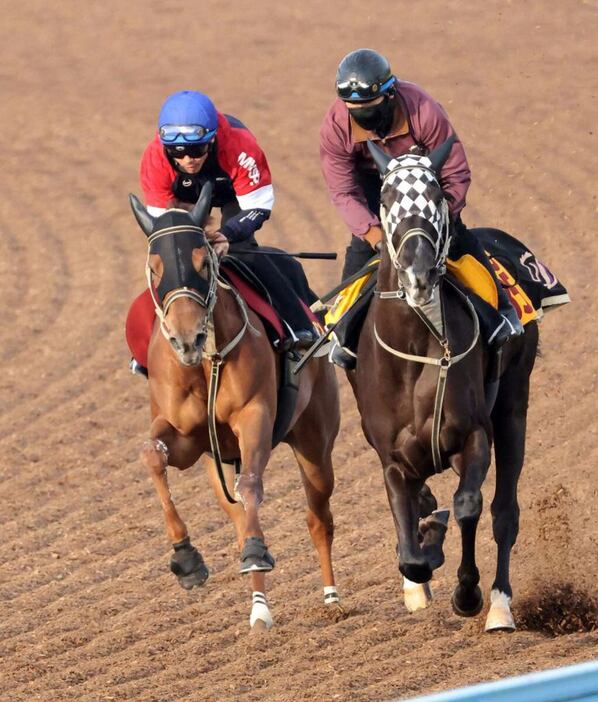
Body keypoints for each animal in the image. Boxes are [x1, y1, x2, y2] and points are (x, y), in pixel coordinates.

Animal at [131, 186, 342, 632]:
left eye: (202, 262)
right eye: (155, 269)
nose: (187, 338)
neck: (206, 363)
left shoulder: (255, 415)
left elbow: (252, 486)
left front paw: (258, 552)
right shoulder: (186, 438)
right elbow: (152, 457)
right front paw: (186, 558)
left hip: (315, 443)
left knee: (318, 518)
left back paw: (332, 598)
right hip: (218, 463)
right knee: (239, 519)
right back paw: (259, 609)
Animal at [352, 138, 544, 632]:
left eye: (435, 193)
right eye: (386, 198)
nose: (417, 272)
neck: (419, 347)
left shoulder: (473, 436)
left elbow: (469, 505)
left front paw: (468, 593)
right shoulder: (391, 458)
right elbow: (410, 550)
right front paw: (422, 561)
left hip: (513, 407)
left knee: (505, 513)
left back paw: (499, 606)